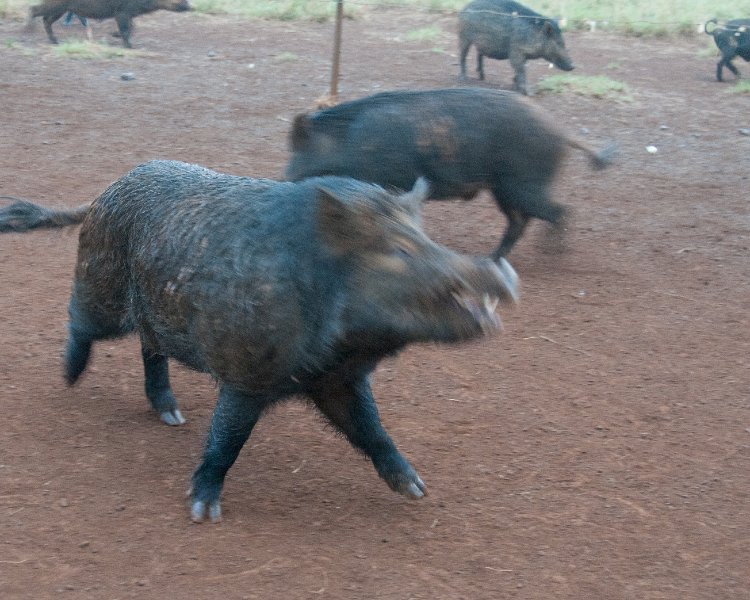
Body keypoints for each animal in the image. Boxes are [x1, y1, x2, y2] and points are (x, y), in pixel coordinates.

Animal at [0, 162, 520, 524]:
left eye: (426, 237)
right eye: (401, 251)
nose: (500, 271)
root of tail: (102, 194)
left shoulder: (337, 380)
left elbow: (370, 429)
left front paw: (416, 488)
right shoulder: (246, 373)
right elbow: (227, 438)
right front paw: (203, 513)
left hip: (152, 311)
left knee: (151, 352)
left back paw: (171, 415)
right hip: (101, 284)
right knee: (81, 321)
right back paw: (69, 378)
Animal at [288, 88, 616, 260]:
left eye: (299, 156)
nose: (285, 180)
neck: (346, 144)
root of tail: (561, 132)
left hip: (524, 186)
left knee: (559, 211)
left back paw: (551, 256)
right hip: (504, 191)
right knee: (519, 223)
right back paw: (492, 258)